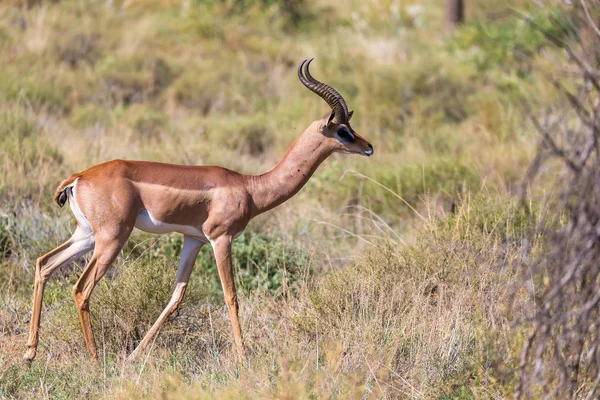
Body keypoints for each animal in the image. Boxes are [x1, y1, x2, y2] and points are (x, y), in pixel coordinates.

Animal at [24, 59, 376, 362]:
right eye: (343, 130)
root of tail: (78, 177)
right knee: (80, 289)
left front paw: (135, 355)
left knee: (44, 264)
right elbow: (231, 296)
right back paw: (95, 360)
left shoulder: (193, 240)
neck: (250, 187)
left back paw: (30, 353)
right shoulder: (221, 238)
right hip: (112, 238)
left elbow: (175, 297)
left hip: (86, 235)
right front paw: (244, 358)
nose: (369, 147)